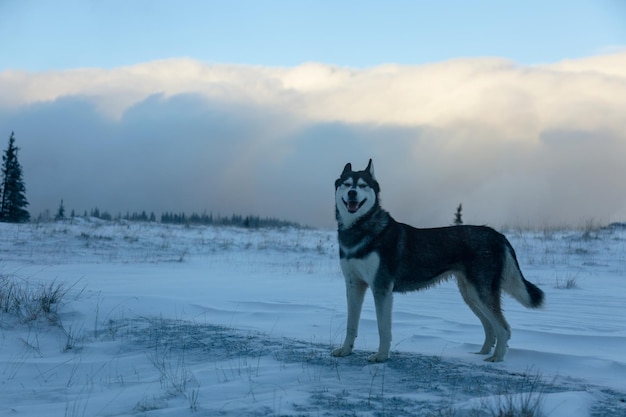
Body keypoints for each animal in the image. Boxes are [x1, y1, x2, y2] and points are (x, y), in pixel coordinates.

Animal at [332, 159, 540, 360]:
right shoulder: (353, 284)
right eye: (347, 184)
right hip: (471, 295)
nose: (352, 193)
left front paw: (381, 356)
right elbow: (351, 324)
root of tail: (498, 235)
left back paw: (496, 358)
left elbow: (383, 329)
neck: (360, 229)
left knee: (503, 328)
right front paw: (346, 350)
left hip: (481, 293)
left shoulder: (381, 287)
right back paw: (481, 353)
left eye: (362, 185)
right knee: (490, 327)